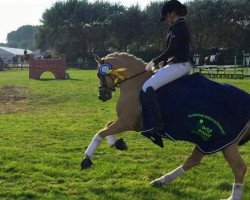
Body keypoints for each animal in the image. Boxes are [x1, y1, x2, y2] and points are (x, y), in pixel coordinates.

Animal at [81, 52, 249, 199]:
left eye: (99, 75)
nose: (102, 96)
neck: (135, 83)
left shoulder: (127, 122)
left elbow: (100, 132)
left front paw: (86, 159)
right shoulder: (132, 123)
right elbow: (107, 125)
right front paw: (117, 143)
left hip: (225, 143)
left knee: (239, 168)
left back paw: (233, 197)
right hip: (207, 141)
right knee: (193, 161)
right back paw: (161, 181)